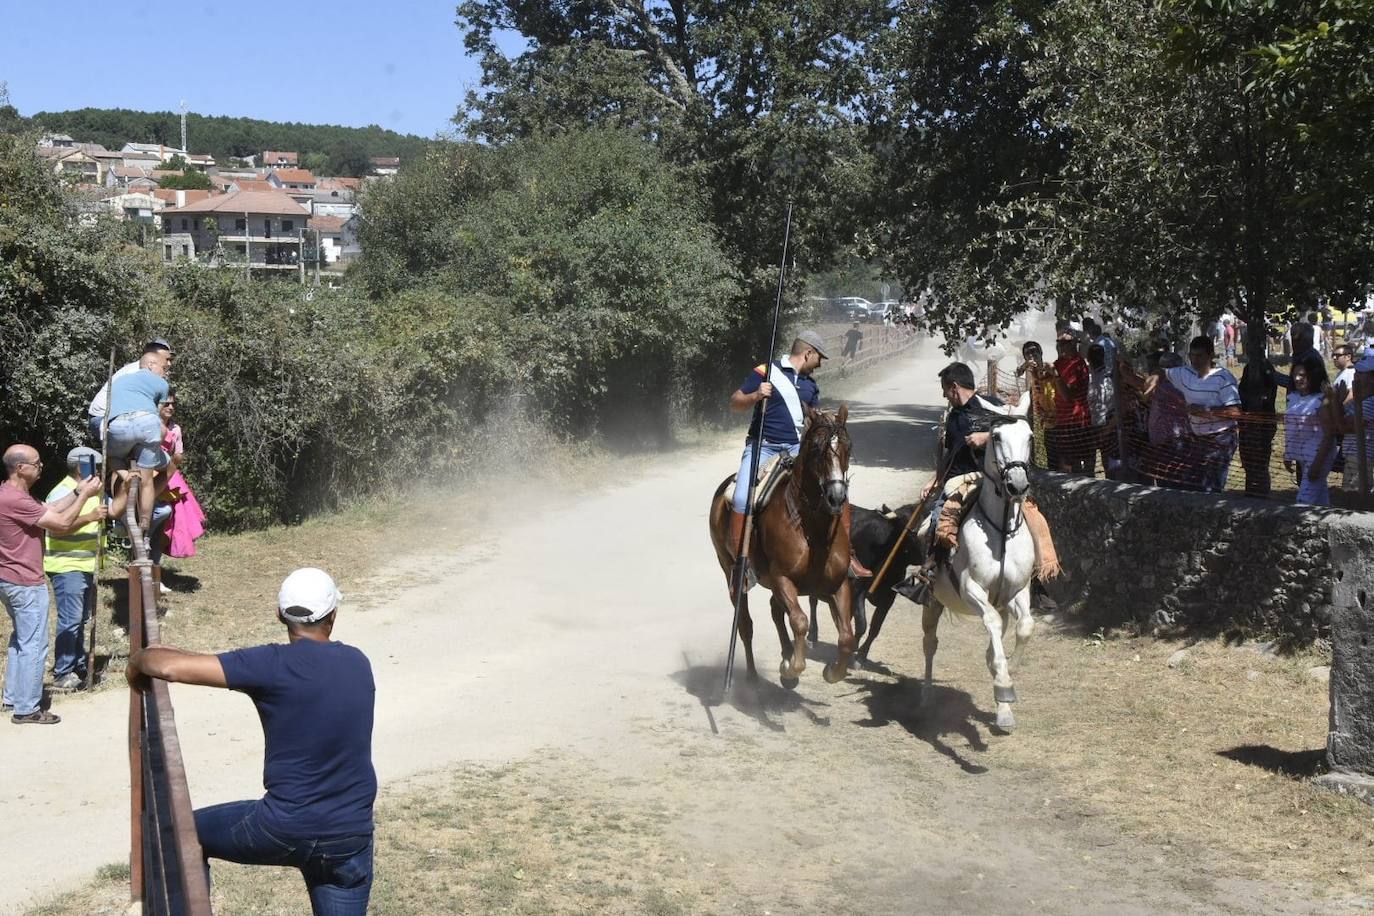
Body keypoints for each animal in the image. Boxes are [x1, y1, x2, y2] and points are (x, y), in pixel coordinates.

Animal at [708, 409, 857, 686]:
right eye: (816, 448)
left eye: (848, 446)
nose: (836, 497)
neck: (812, 531)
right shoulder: (782, 579)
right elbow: (799, 621)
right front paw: (792, 668)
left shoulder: (839, 584)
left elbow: (846, 636)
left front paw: (832, 671)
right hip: (731, 573)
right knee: (745, 625)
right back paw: (753, 677)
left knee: (775, 611)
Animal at [917, 403, 1033, 736]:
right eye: (996, 436)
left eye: (1030, 437)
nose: (1017, 485)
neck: (1002, 532)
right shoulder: (971, 588)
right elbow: (991, 623)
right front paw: (1004, 684)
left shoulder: (1019, 590)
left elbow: (1025, 626)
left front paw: (1008, 674)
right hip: (932, 602)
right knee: (930, 644)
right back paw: (925, 698)